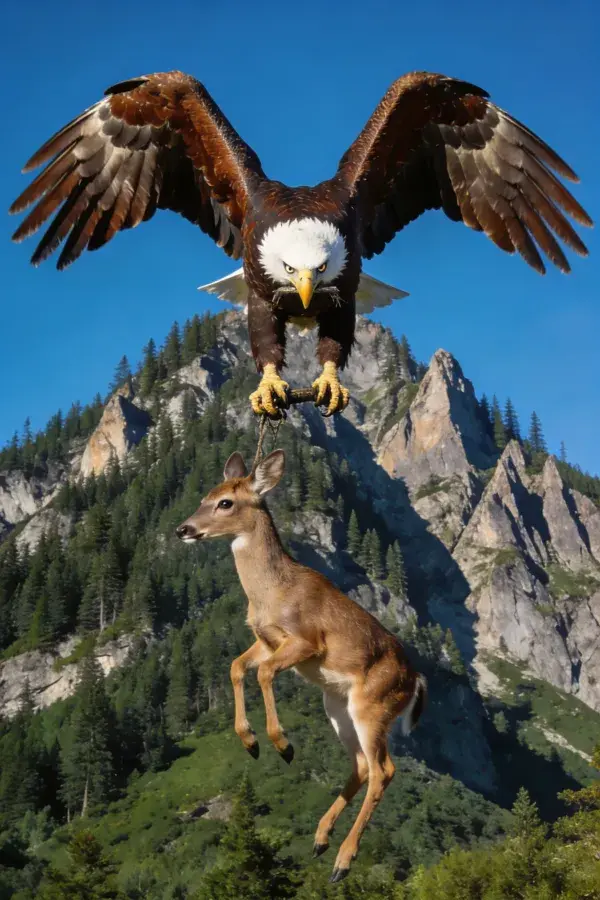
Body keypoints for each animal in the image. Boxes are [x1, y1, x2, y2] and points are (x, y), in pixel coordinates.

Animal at [176, 449, 427, 883]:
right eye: (206, 494)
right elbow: (236, 667)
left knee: (384, 771)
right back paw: (321, 840)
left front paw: (282, 744)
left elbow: (262, 673)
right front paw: (250, 741)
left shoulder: (307, 641)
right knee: (362, 766)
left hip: (373, 705)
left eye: (225, 502)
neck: (272, 593)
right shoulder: (266, 640)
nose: (183, 529)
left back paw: (343, 861)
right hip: (338, 707)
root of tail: (415, 682)